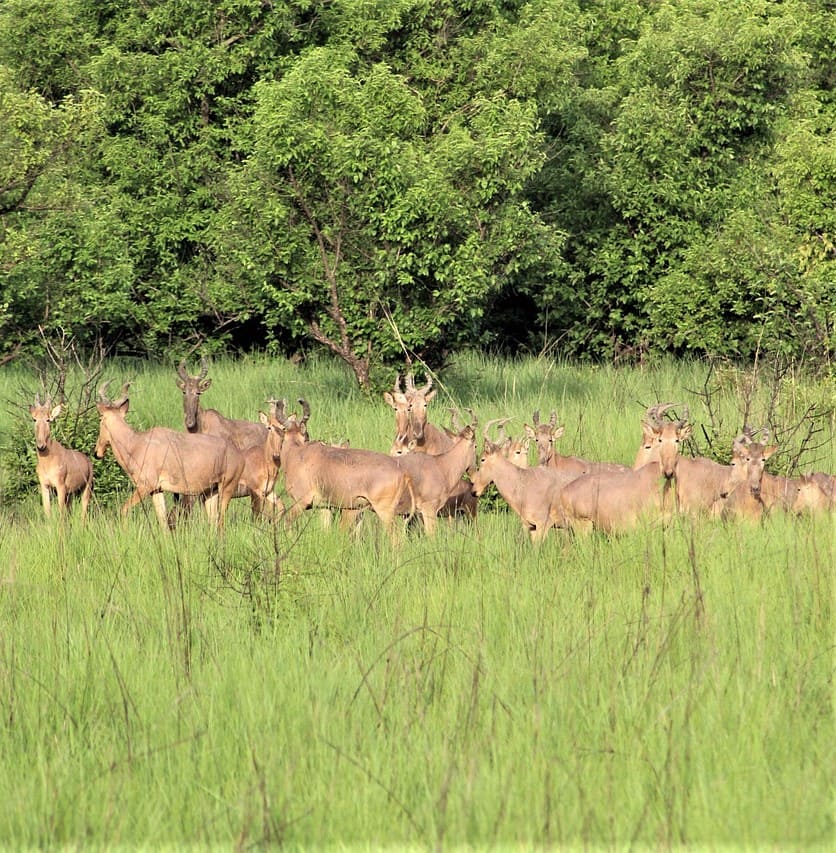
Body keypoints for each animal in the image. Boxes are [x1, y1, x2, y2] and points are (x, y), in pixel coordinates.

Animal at [96, 382, 245, 528]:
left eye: (100, 418)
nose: (97, 452)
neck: (137, 443)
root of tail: (237, 453)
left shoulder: (145, 487)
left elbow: (124, 509)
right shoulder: (156, 490)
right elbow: (163, 520)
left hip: (226, 487)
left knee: (221, 522)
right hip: (211, 491)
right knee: (213, 521)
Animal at [274, 396, 414, 536]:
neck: (298, 451)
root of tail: (401, 471)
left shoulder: (301, 502)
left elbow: (287, 522)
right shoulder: (326, 507)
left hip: (384, 511)